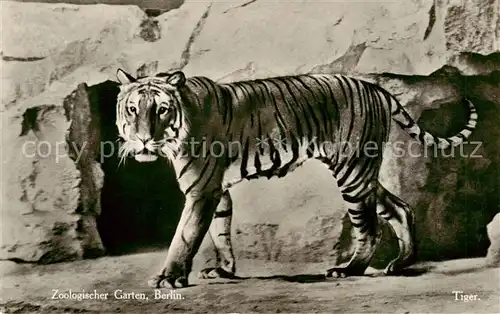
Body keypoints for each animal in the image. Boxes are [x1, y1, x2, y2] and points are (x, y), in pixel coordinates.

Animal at [113, 67, 476, 288]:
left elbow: (185, 235)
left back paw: (349, 269)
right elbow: (220, 230)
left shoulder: (201, 189)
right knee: (400, 208)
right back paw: (401, 263)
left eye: (161, 110)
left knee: (370, 227)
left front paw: (168, 277)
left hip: (352, 172)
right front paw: (225, 269)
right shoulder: (218, 190)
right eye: (132, 109)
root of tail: (375, 87)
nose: (142, 139)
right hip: (364, 172)